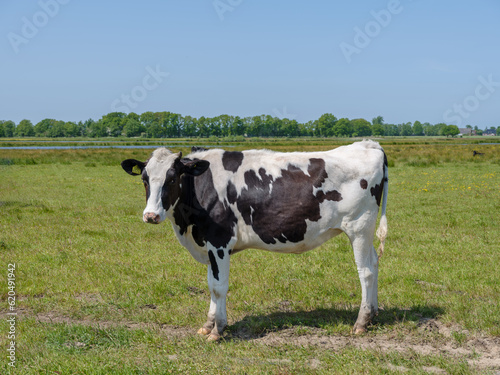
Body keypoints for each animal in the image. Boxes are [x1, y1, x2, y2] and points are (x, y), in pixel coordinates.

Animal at [121, 140, 386, 340]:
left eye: (172, 178)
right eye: (144, 179)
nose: (151, 215)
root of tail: (367, 144)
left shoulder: (219, 242)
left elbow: (219, 286)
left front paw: (217, 331)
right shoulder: (209, 245)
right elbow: (211, 284)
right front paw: (208, 325)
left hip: (359, 227)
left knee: (365, 271)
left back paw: (361, 321)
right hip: (365, 232)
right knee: (374, 264)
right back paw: (373, 314)